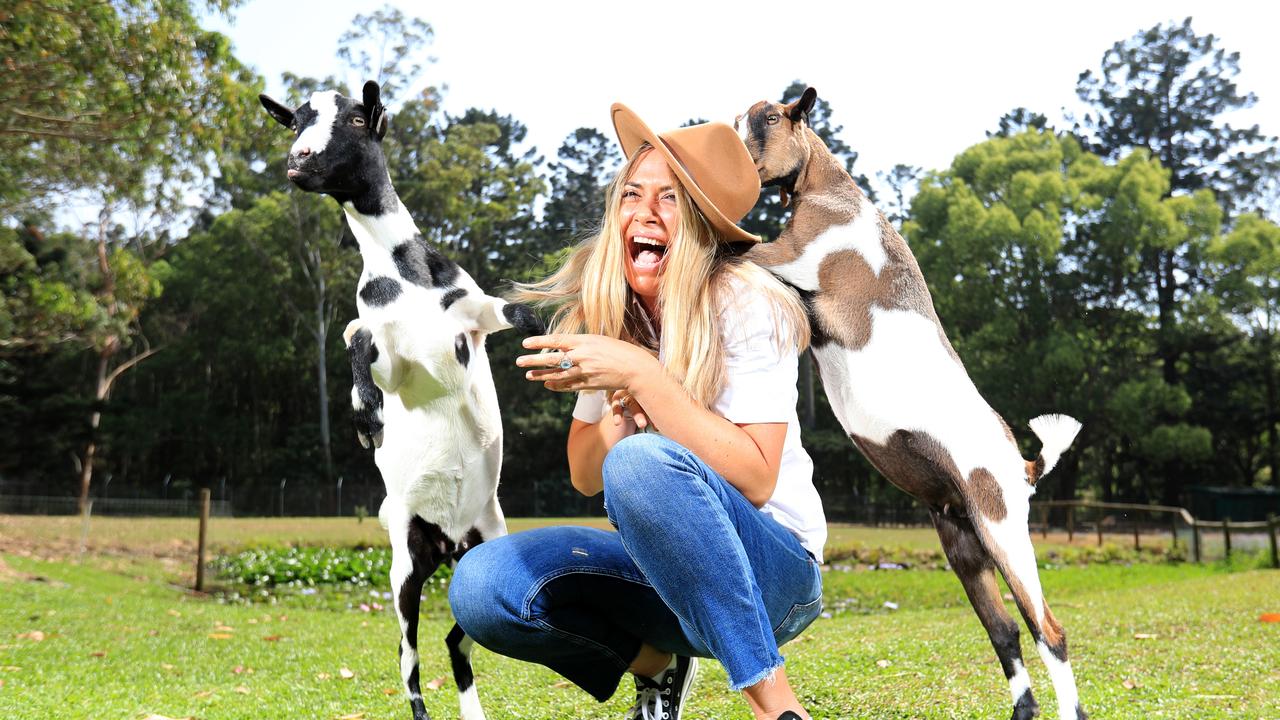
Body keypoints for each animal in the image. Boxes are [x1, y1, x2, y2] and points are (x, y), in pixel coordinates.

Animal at [259, 78, 540, 717]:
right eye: (296, 123)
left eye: (359, 119)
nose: (298, 160)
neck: (406, 277)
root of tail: (448, 542)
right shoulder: (395, 359)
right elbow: (355, 338)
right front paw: (368, 418)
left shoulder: (475, 317)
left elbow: (525, 313)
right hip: (404, 569)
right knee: (410, 659)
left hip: (486, 549)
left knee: (456, 642)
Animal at [737, 88, 1085, 717]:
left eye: (771, 117)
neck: (831, 191)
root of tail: (1024, 464)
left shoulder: (789, 258)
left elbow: (740, 246)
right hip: (963, 545)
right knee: (1005, 631)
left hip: (1002, 527)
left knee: (1048, 629)